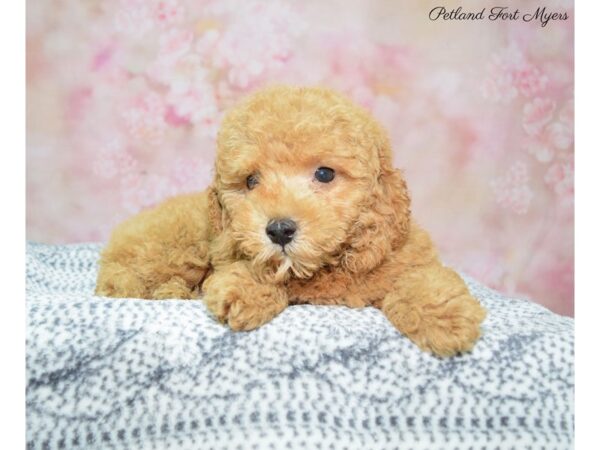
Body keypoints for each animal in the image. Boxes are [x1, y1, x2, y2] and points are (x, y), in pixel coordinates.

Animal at [96, 86, 486, 356]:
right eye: (251, 181)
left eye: (325, 173)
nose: (279, 230)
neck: (326, 265)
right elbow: (263, 272)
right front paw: (243, 289)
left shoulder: (401, 254)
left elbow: (419, 279)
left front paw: (446, 318)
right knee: (121, 282)